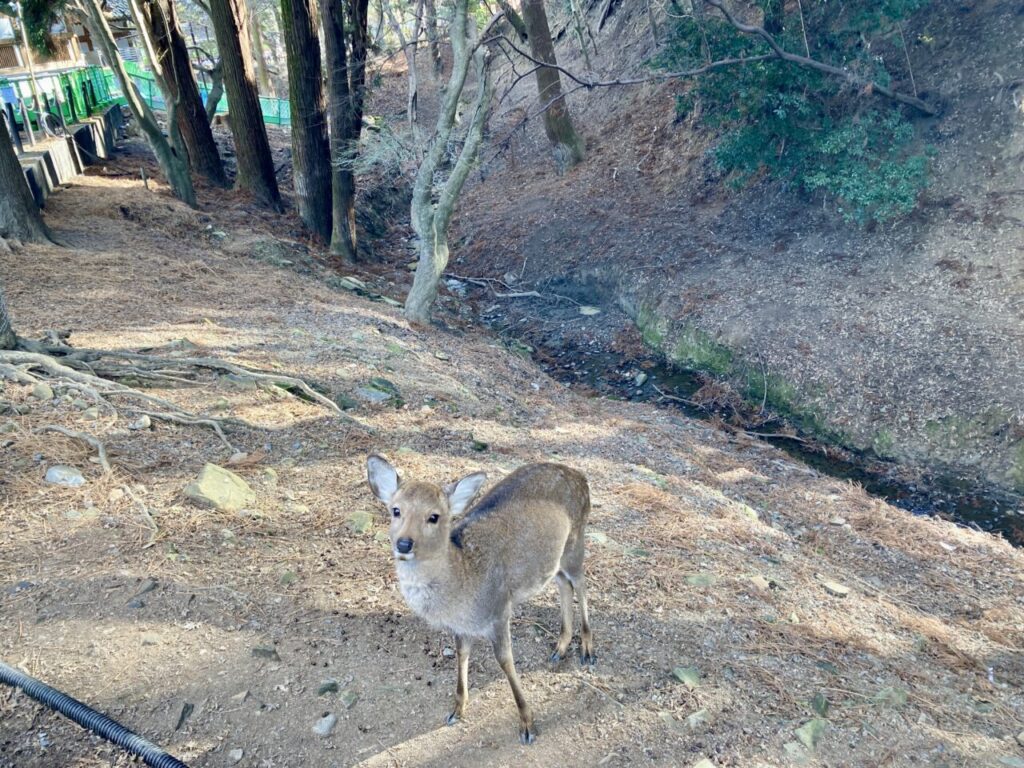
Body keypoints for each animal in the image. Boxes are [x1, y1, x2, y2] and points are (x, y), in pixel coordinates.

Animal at [365, 454, 595, 744]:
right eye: (396, 510)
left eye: (434, 516)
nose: (404, 544)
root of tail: (581, 478)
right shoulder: (460, 627)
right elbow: (462, 654)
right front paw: (456, 710)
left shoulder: (499, 609)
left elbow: (505, 660)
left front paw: (527, 725)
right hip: (554, 560)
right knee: (565, 584)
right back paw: (559, 648)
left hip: (576, 540)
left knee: (581, 583)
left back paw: (587, 650)